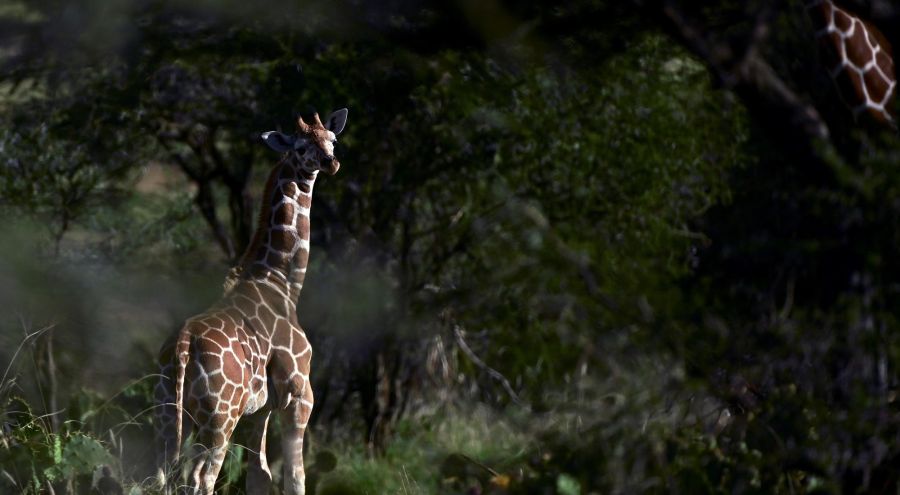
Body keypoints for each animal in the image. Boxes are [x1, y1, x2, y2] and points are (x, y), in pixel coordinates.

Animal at [153, 109, 346, 495]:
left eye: (332, 139)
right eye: (301, 146)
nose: (330, 163)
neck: (282, 282)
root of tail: (182, 348)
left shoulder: (260, 409)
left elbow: (260, 475)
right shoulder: (299, 394)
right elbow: (295, 478)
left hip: (172, 413)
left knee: (163, 475)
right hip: (219, 417)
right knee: (201, 478)